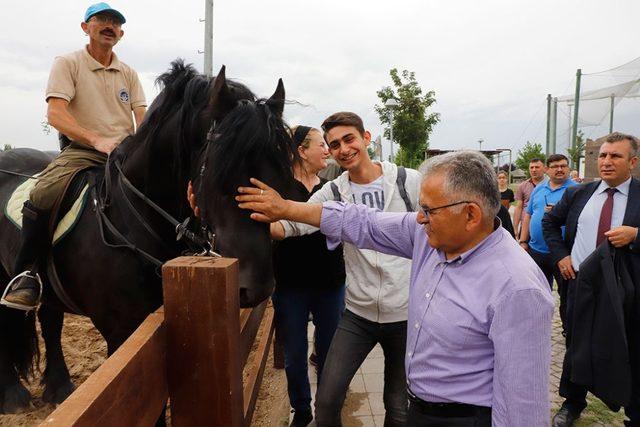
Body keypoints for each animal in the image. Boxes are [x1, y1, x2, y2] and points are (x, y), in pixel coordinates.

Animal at [0, 61, 296, 414]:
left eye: (279, 177)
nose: (257, 287)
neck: (129, 219)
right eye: (219, 170)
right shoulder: (123, 333)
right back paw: (12, 395)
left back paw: (59, 388)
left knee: (50, 318)